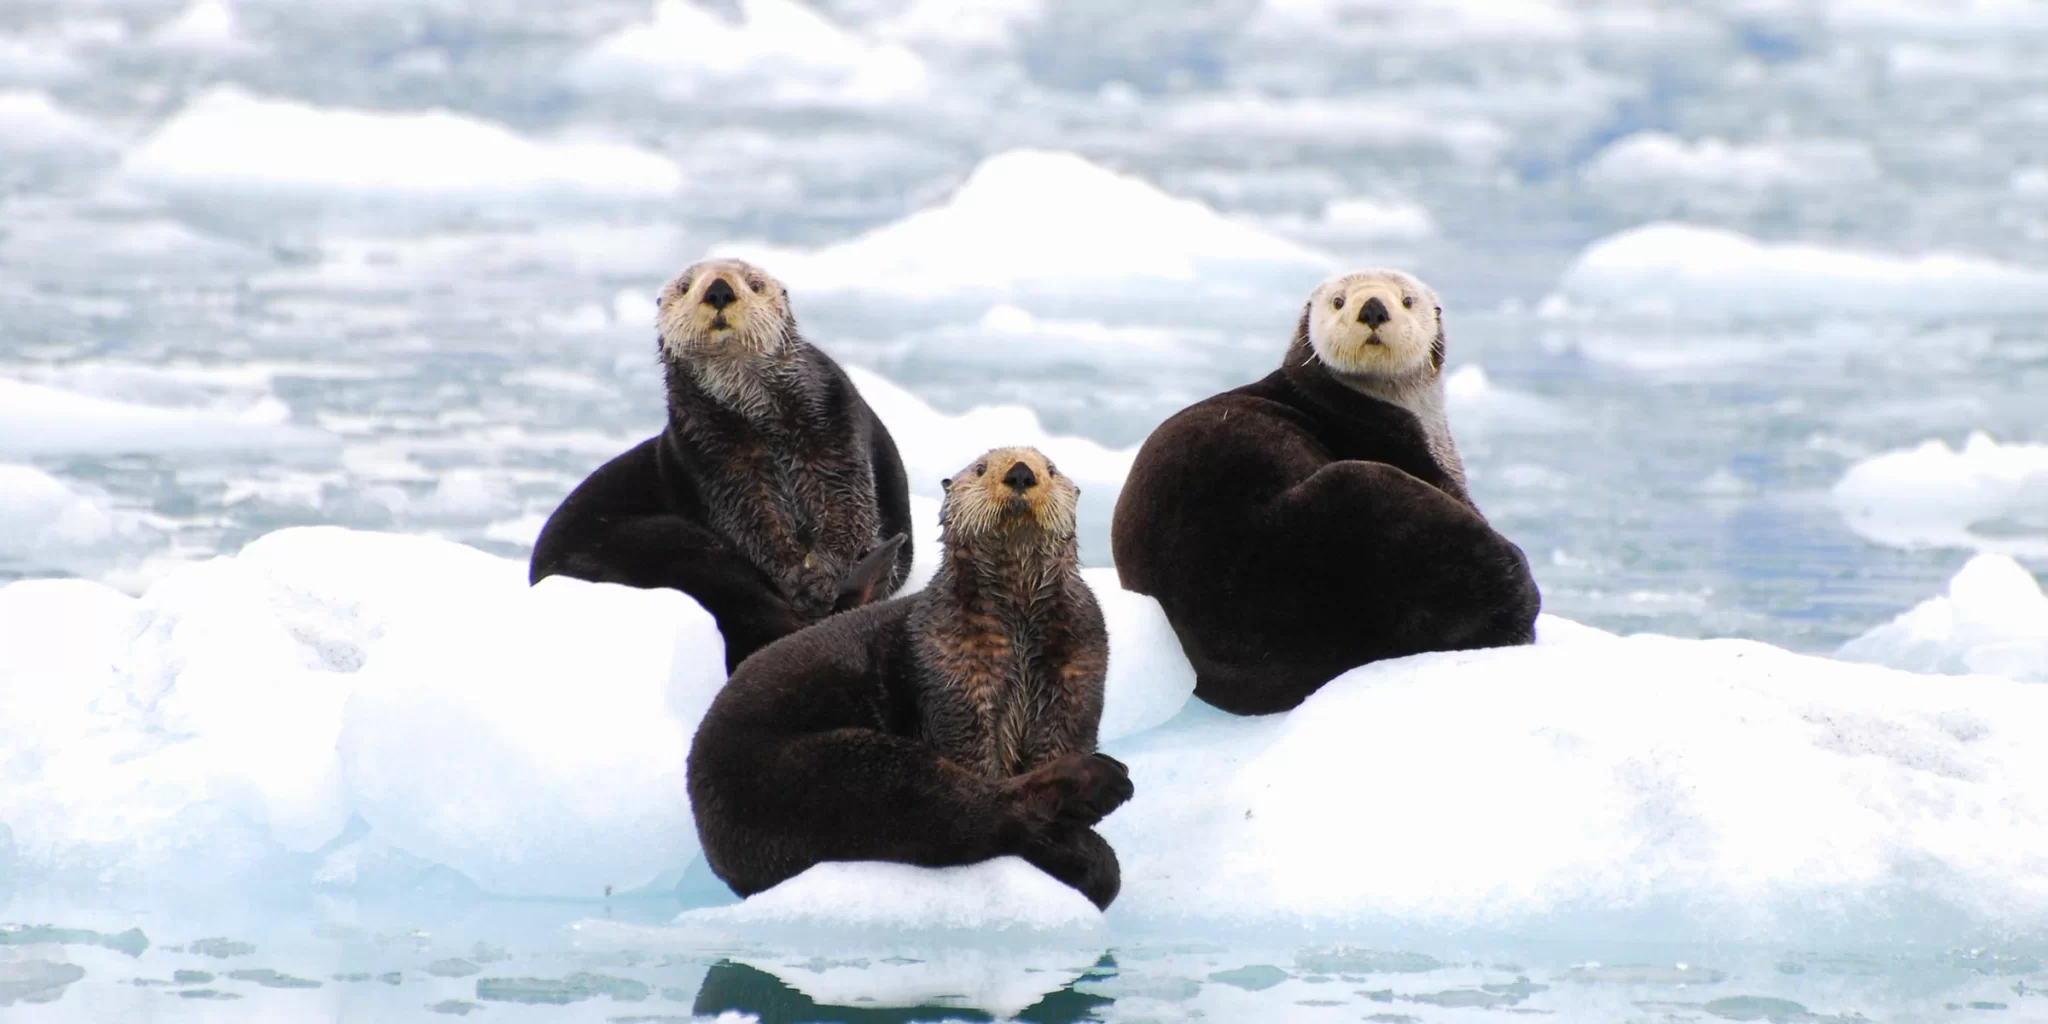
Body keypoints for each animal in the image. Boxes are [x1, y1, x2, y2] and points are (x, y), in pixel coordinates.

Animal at [529, 258, 913, 672]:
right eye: (685, 286)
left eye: (755, 283)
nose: (718, 289)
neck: (762, 424)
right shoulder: (713, 456)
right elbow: (752, 523)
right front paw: (801, 578)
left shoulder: (831, 428)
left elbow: (847, 506)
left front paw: (822, 575)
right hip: (665, 545)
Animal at [687, 446, 1130, 909]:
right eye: (980, 468)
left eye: (1051, 469)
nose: (1022, 474)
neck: (1017, 625)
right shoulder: (953, 666)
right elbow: (972, 749)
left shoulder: (1078, 662)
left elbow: (1061, 733)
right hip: (837, 770)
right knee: (975, 811)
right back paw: (1098, 791)